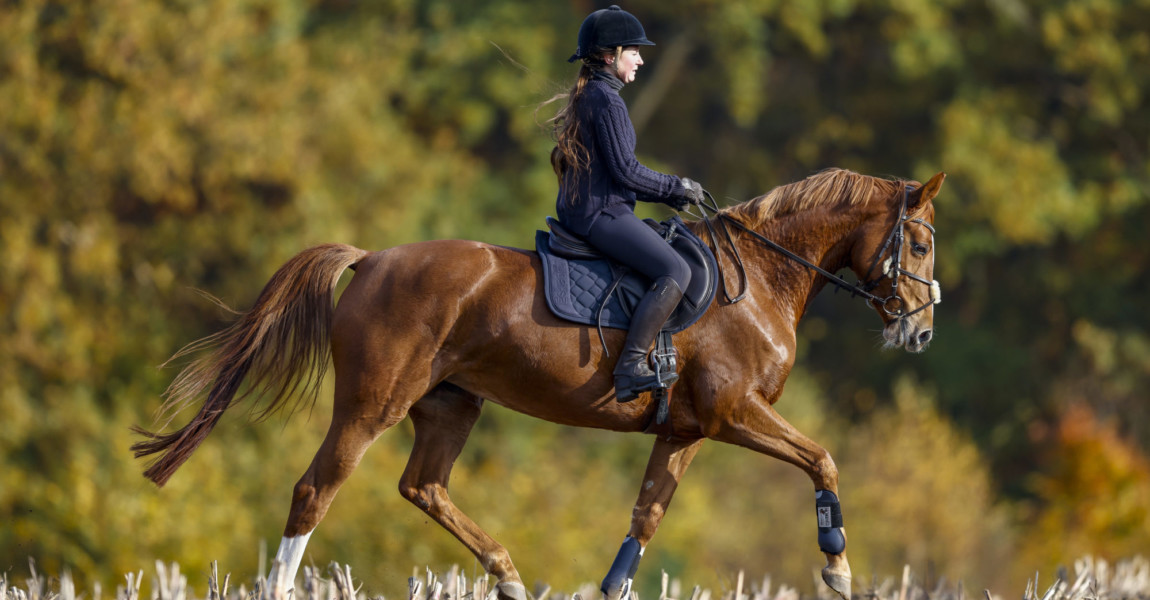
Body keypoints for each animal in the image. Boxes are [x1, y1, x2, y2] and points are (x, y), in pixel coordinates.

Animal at [132, 165, 943, 597]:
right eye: (920, 244)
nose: (922, 331)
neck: (764, 279)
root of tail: (371, 260)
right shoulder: (734, 414)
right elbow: (823, 460)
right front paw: (838, 570)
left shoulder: (685, 431)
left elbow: (643, 524)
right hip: (371, 405)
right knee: (314, 492)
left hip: (450, 408)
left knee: (423, 488)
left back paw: (508, 575)